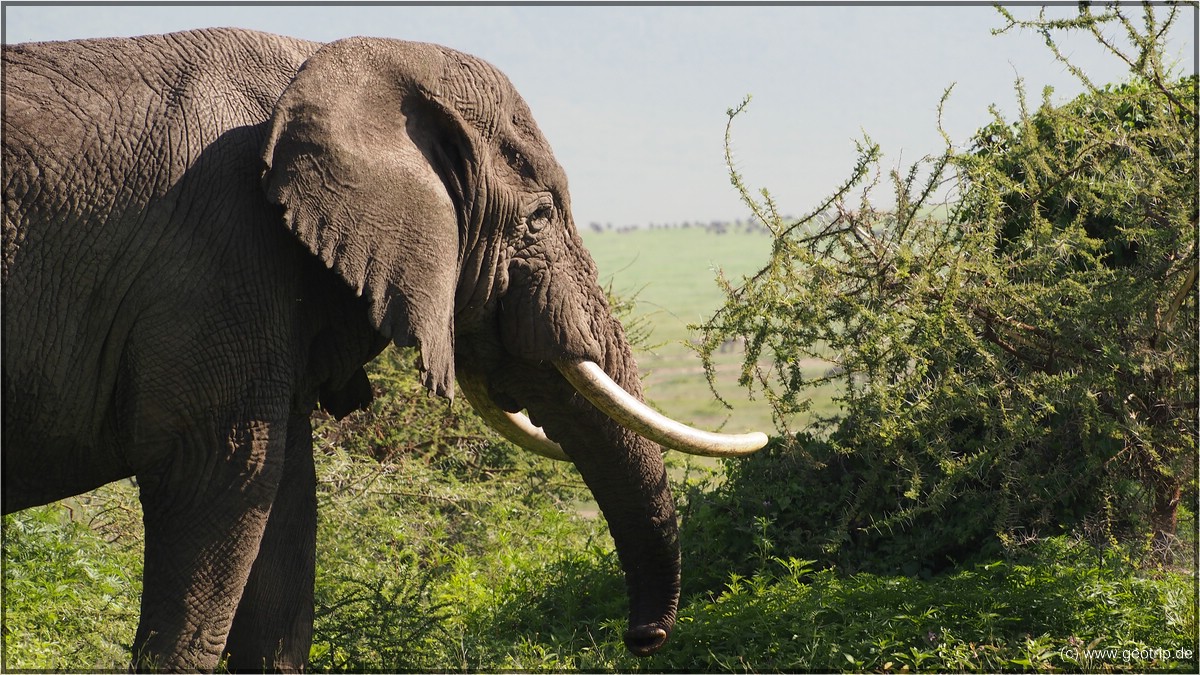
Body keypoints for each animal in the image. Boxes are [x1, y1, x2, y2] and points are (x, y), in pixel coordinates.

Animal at [0, 28, 763, 667]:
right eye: (540, 219)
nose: (644, 638)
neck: (334, 62)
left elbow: (284, 499)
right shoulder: (215, 255)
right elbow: (219, 467)